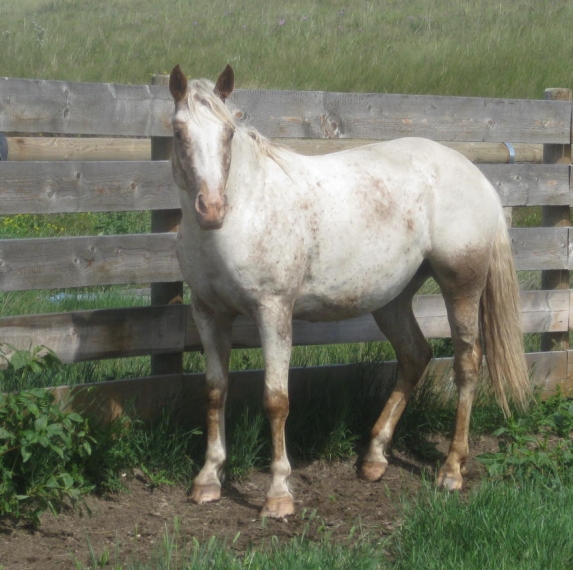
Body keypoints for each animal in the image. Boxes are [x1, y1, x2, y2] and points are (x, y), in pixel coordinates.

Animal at [168, 64, 528, 516]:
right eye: (178, 131)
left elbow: (276, 399)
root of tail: (476, 176)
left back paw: (450, 470)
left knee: (467, 363)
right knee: (416, 355)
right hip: (393, 300)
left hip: (462, 284)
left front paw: (279, 495)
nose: (212, 209)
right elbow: (215, 392)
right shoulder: (208, 312)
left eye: (229, 132)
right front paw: (207, 480)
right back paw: (373, 458)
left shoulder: (273, 311)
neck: (244, 213)